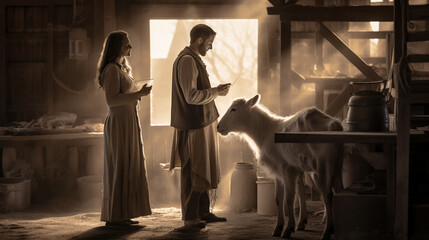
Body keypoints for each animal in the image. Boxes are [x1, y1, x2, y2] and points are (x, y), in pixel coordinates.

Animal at [217, 94, 342, 240]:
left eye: (234, 109)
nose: (218, 127)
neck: (264, 132)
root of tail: (334, 124)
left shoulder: (286, 168)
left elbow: (289, 199)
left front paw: (288, 229)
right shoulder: (278, 171)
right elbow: (278, 198)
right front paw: (278, 227)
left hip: (322, 165)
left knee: (327, 194)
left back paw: (327, 232)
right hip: (337, 163)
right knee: (338, 191)